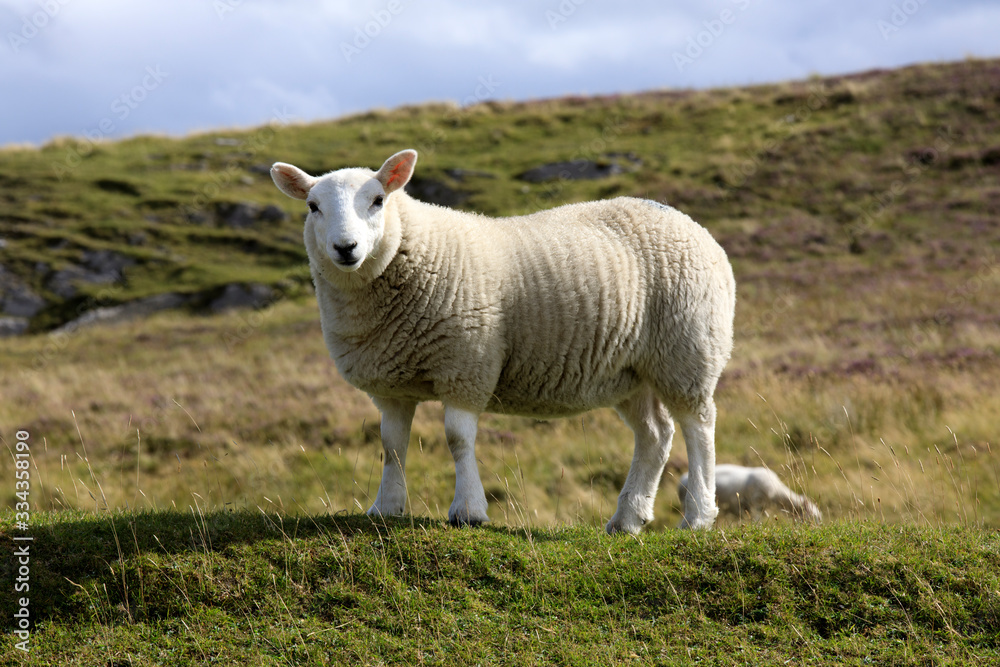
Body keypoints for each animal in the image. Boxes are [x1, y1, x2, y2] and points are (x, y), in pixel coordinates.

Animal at [270, 149, 736, 533]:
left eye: (378, 200)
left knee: (699, 426)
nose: (345, 248)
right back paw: (628, 518)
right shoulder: (391, 385)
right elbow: (392, 446)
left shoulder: (467, 363)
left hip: (687, 348)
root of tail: (690, 223)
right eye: (313, 206)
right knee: (655, 435)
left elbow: (457, 438)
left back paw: (697, 516)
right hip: (630, 371)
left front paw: (468, 511)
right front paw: (386, 508)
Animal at [677, 464, 822, 522]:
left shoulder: (762, 507)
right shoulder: (756, 502)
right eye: (813, 516)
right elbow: (757, 520)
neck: (777, 492)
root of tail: (682, 480)